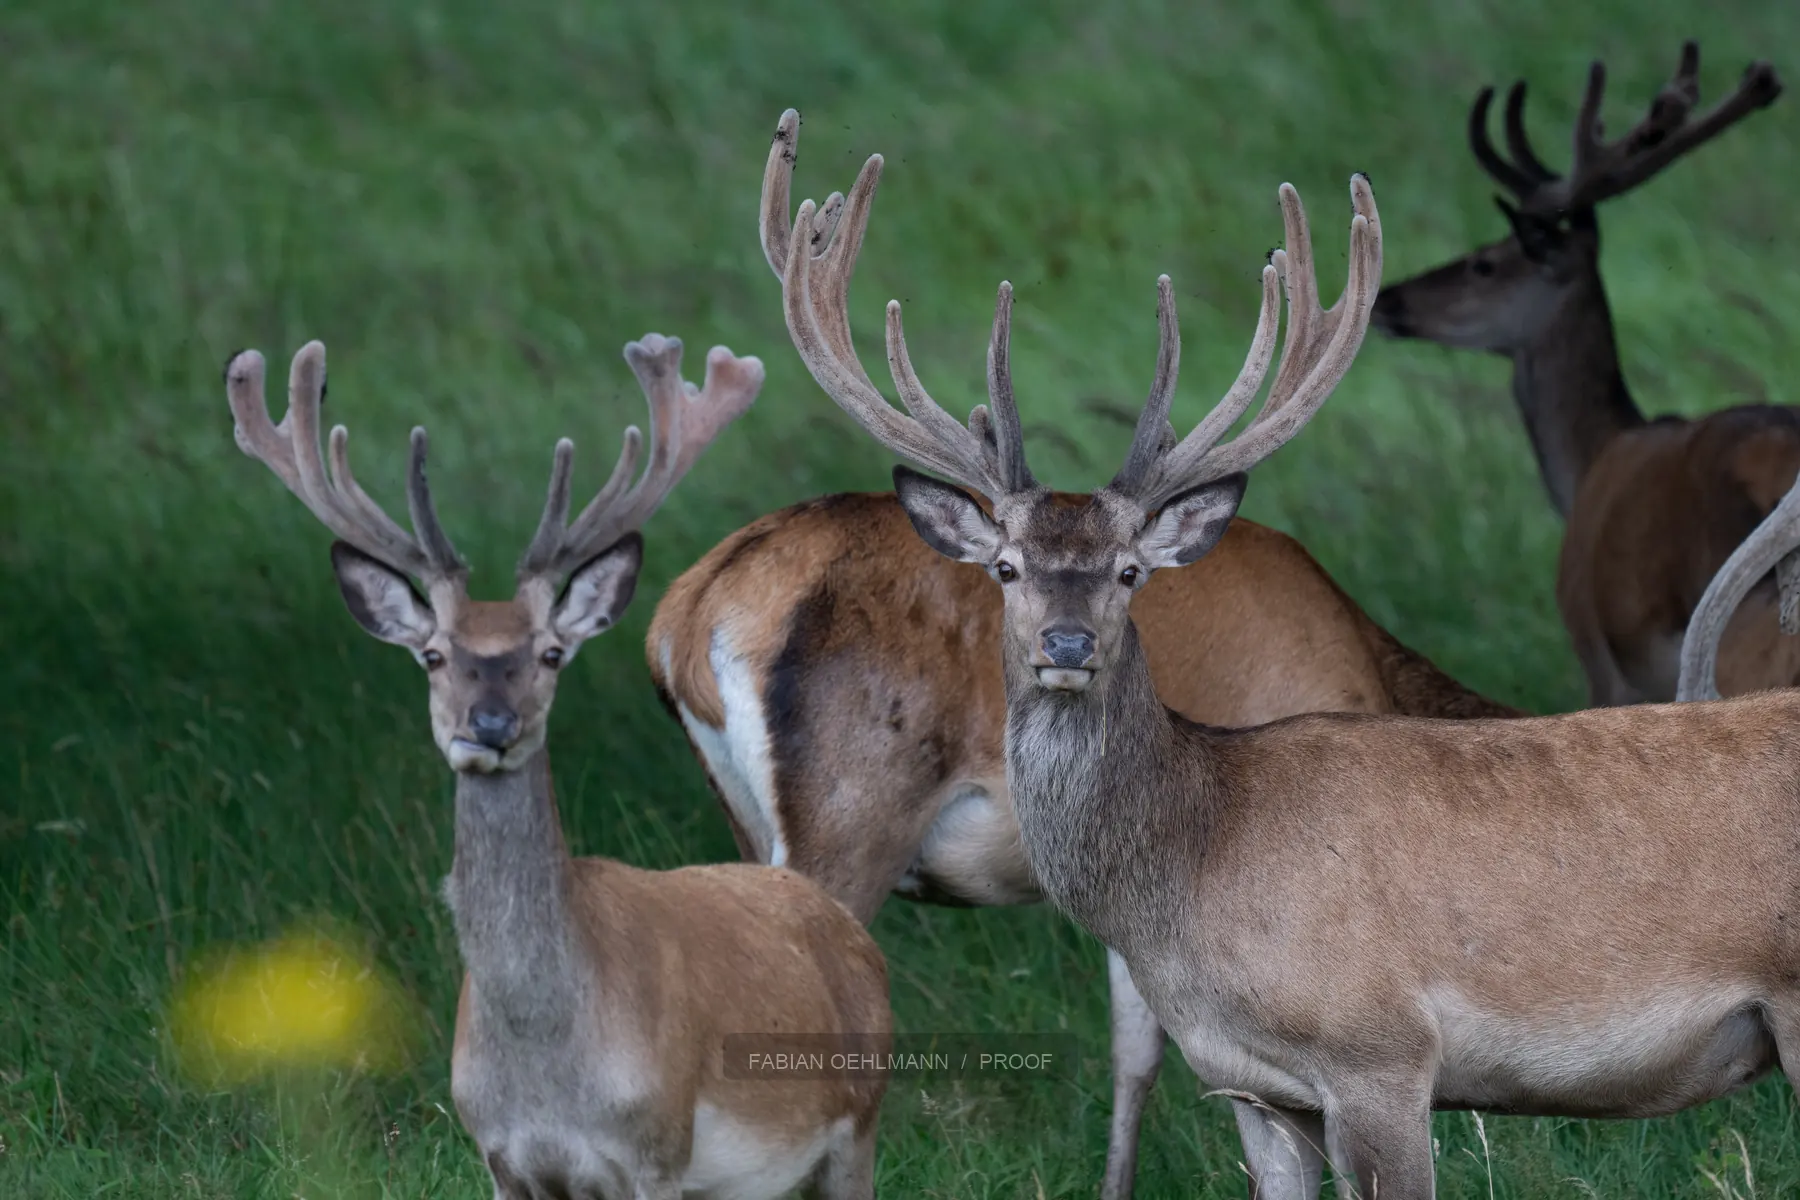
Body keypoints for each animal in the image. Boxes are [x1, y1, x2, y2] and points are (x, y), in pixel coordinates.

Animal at [222, 334, 892, 1200]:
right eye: (434, 655)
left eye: (549, 653)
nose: (491, 726)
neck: (551, 1072)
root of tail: (840, 923)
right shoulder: (502, 1156)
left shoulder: (657, 1150)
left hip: (858, 1122)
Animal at [647, 110, 1522, 1198]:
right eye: (1007, 568)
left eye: (1129, 572)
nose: (1065, 642)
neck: (1369, 671)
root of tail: (689, 616)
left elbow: (1133, 1048)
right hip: (845, 814)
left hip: (737, 820)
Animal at [769, 124, 1800, 1200]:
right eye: (1005, 568)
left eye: (1131, 571)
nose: (1067, 644)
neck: (1198, 867)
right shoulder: (1255, 1087)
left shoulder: (1379, 1051)